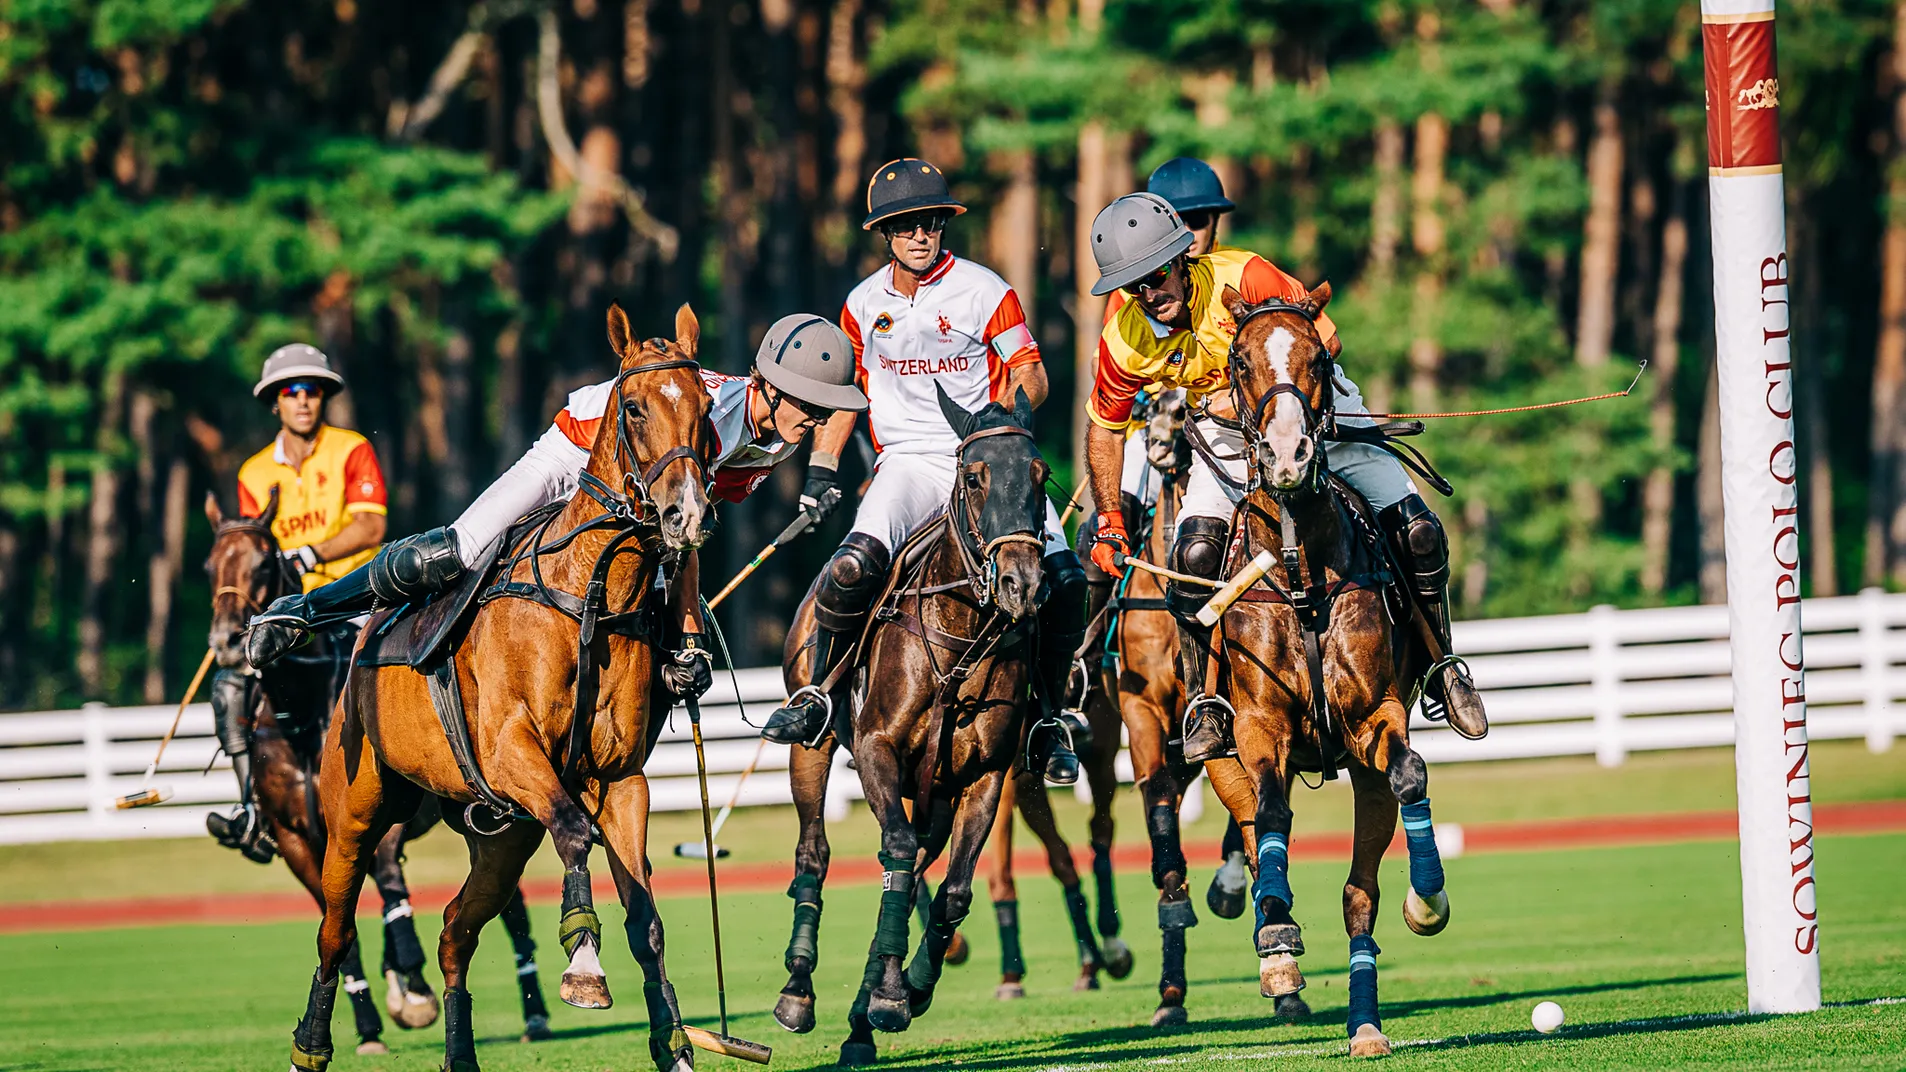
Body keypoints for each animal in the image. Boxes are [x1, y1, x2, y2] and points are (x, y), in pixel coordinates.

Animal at [202, 491, 551, 1054]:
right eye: (209, 566)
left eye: (264, 563)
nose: (227, 642)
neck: (300, 714)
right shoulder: (296, 838)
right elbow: (340, 925)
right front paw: (367, 1024)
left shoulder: (381, 819)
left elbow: (390, 887)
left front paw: (414, 986)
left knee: (513, 911)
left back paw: (533, 1012)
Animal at [286, 302, 715, 1072]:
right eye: (634, 407)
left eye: (701, 409)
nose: (684, 514)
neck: (590, 588)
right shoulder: (512, 748)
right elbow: (574, 831)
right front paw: (583, 966)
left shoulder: (620, 779)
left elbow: (646, 918)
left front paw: (675, 1047)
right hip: (355, 811)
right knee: (335, 929)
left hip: (500, 833)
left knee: (456, 928)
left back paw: (459, 1052)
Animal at [769, 386, 1052, 1067]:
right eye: (974, 477)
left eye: (1040, 474)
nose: (1023, 585)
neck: (961, 637)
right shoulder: (876, 747)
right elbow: (893, 850)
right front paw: (889, 993)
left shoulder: (983, 777)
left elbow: (952, 890)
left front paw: (906, 990)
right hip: (813, 746)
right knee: (815, 850)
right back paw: (800, 991)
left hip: (937, 796)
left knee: (919, 862)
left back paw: (864, 1014)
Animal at [1201, 282, 1454, 1057]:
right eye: (1241, 360)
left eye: (1320, 358)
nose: (1287, 455)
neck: (1302, 569)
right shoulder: (1258, 727)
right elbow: (1270, 813)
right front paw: (1277, 918)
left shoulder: (1375, 719)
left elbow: (1410, 776)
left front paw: (1428, 896)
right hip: (1215, 749)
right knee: (1254, 829)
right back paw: (1275, 941)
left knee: (1358, 893)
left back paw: (1365, 1022)